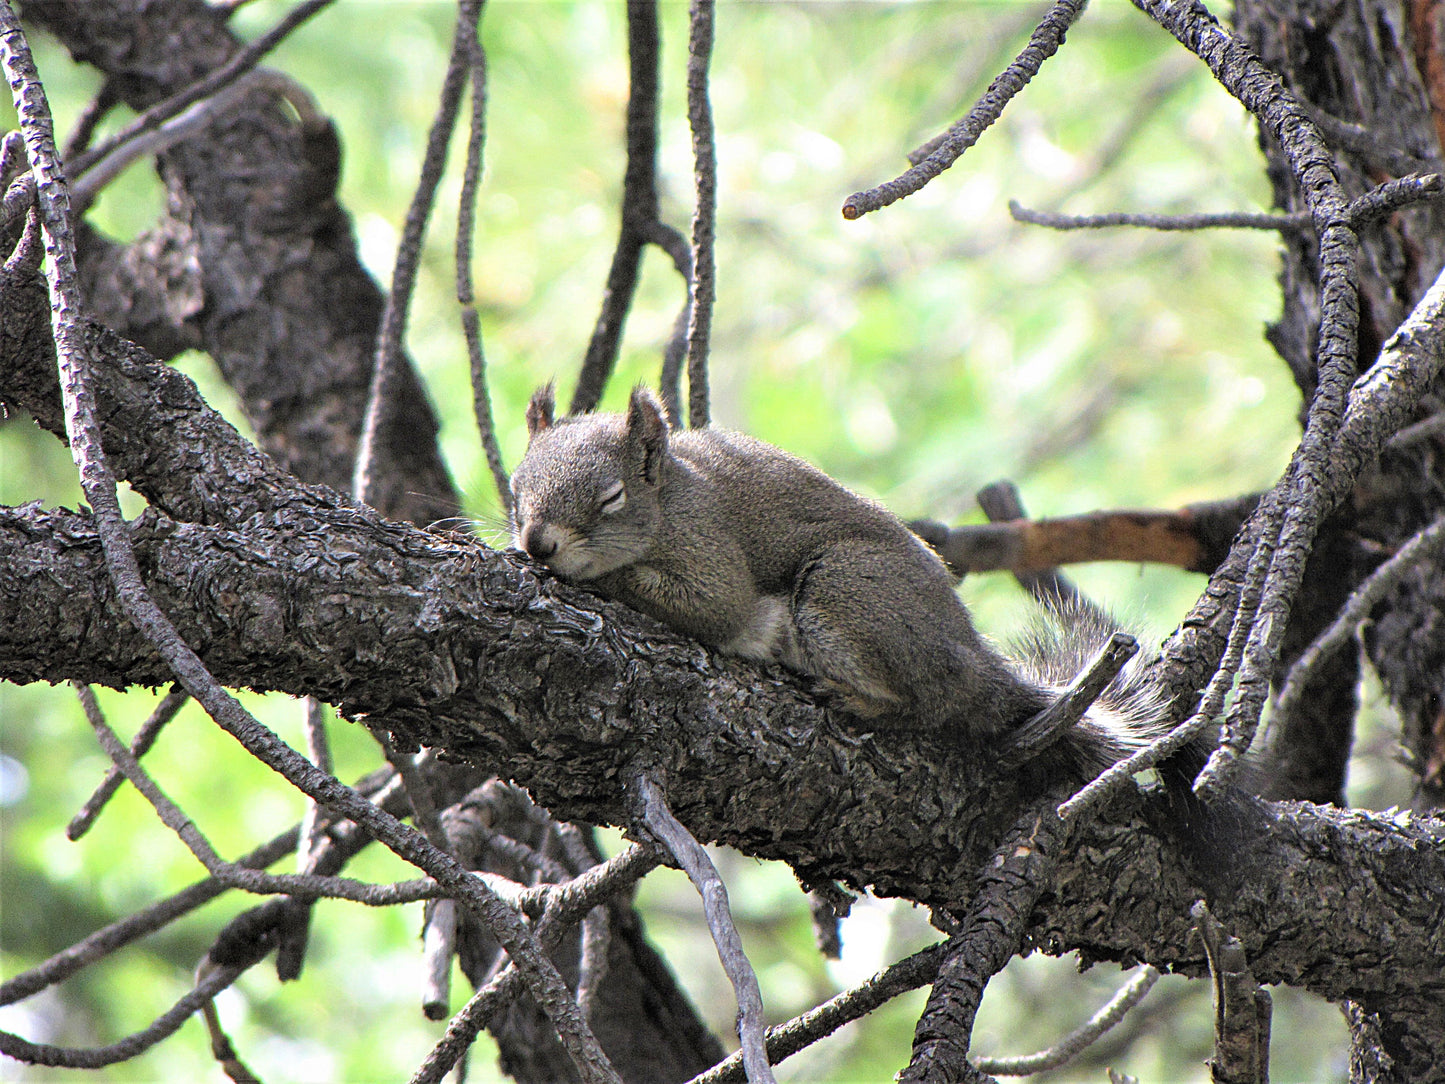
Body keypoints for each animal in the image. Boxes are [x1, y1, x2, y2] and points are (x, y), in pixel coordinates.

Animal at [514, 384, 1167, 774]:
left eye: (611, 497)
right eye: (517, 487)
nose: (536, 543)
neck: (670, 498)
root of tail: (978, 662)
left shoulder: (712, 557)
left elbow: (713, 607)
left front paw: (607, 580)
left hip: (842, 590)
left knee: (929, 703)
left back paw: (853, 697)